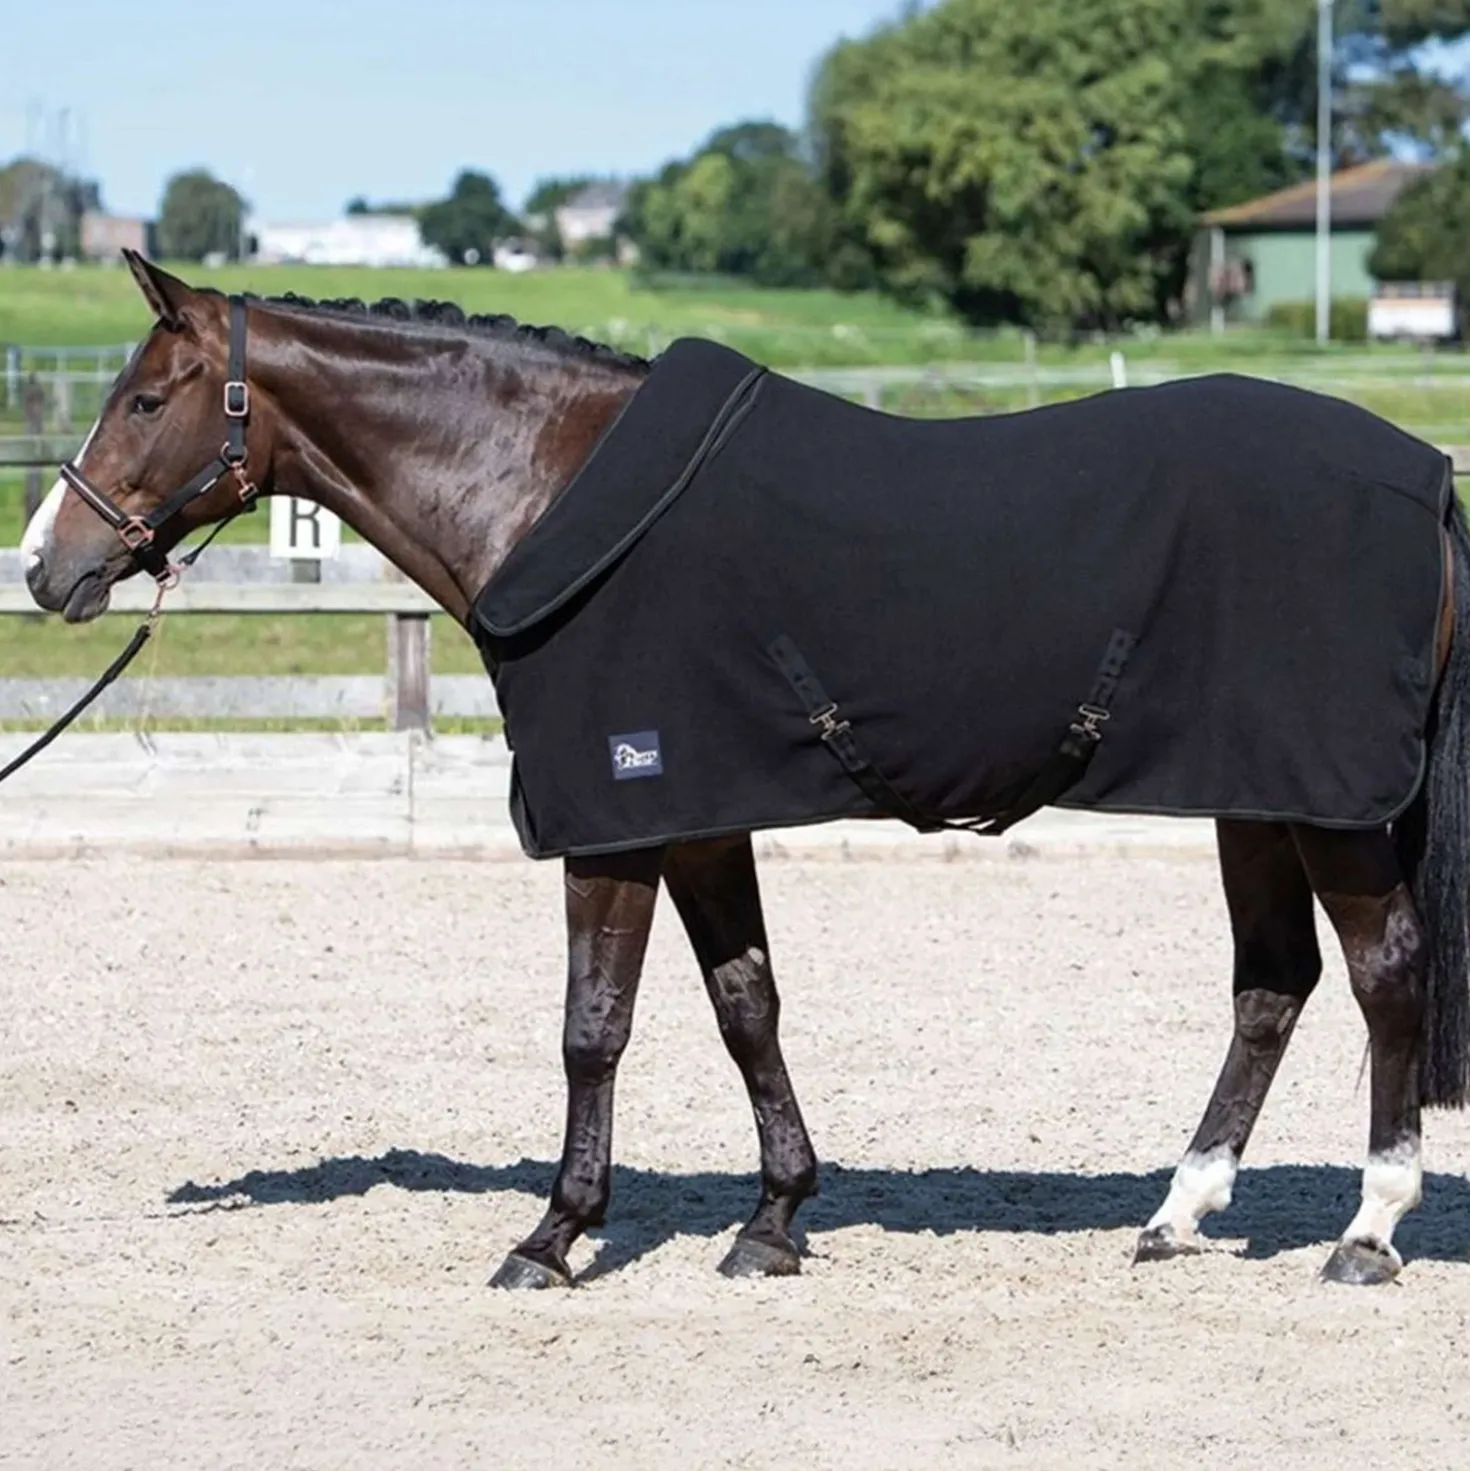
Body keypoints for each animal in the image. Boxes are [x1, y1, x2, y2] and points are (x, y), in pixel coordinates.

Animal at [19, 250, 1470, 1290]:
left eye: (144, 398)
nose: (44, 565)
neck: (549, 489)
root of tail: (1423, 475)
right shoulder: (702, 818)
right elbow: (745, 1004)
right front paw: (771, 1218)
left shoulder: (616, 819)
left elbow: (593, 1025)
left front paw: (553, 1234)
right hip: (1261, 794)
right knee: (1271, 985)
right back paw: (1177, 1211)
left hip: (1330, 807)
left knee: (1384, 972)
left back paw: (1368, 1227)